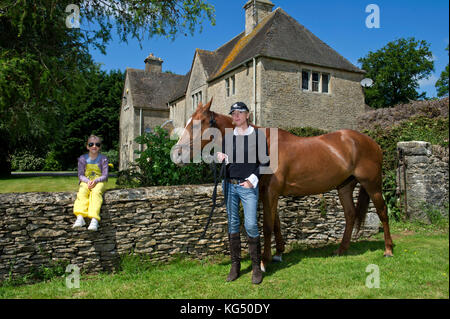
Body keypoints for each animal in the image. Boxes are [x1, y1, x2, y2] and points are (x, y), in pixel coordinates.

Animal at [172, 99, 394, 270]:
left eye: (197, 124)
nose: (176, 154)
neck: (264, 145)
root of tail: (373, 143)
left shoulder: (271, 191)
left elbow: (268, 225)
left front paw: (264, 261)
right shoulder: (266, 192)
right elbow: (276, 223)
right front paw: (278, 253)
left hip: (372, 185)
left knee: (382, 212)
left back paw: (388, 249)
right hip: (344, 187)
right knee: (350, 214)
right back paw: (341, 249)